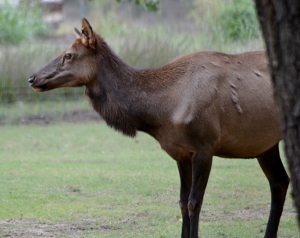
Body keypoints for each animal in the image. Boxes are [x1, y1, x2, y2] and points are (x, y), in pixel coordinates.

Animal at [29, 19, 290, 238]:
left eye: (68, 55)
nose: (32, 78)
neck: (161, 112)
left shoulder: (205, 145)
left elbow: (195, 202)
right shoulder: (180, 152)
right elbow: (182, 202)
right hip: (264, 144)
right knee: (280, 182)